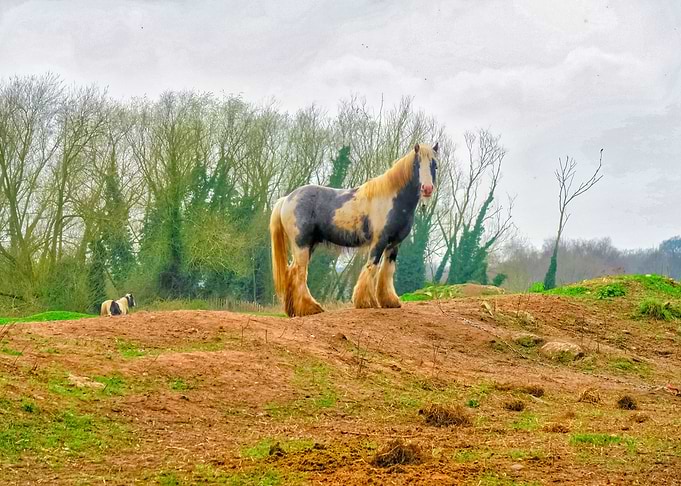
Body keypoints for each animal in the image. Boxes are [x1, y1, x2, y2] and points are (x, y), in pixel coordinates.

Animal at [270, 143, 438, 317]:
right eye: (416, 165)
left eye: (435, 165)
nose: (427, 188)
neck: (392, 200)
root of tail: (287, 199)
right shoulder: (379, 241)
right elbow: (371, 267)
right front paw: (367, 302)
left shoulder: (394, 244)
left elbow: (387, 271)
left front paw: (390, 301)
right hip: (301, 244)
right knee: (300, 272)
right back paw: (310, 308)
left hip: (309, 245)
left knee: (292, 272)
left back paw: (294, 310)